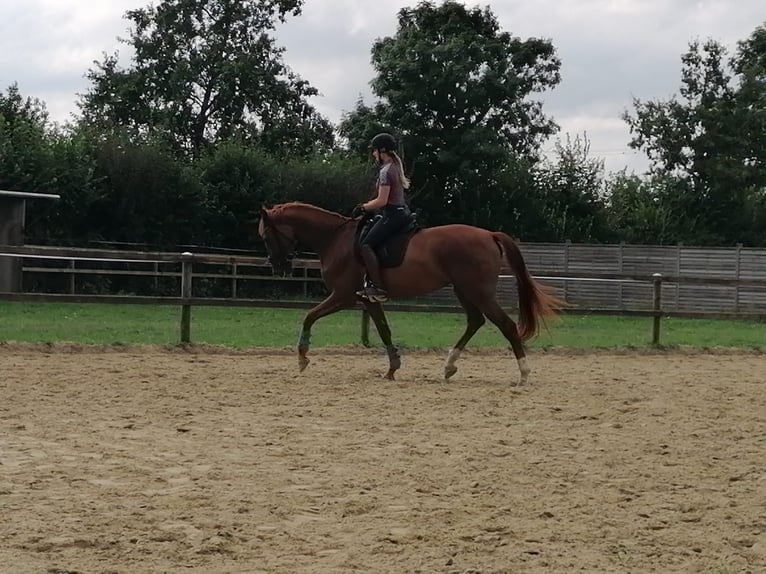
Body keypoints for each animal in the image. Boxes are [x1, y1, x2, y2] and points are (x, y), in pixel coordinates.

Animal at [260, 202, 568, 388]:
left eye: (265, 236)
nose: (277, 266)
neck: (335, 239)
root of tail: (489, 235)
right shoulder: (367, 299)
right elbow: (384, 330)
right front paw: (392, 368)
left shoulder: (344, 296)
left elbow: (309, 315)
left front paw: (302, 358)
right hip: (464, 290)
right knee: (475, 321)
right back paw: (449, 367)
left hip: (477, 291)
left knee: (505, 325)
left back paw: (523, 374)